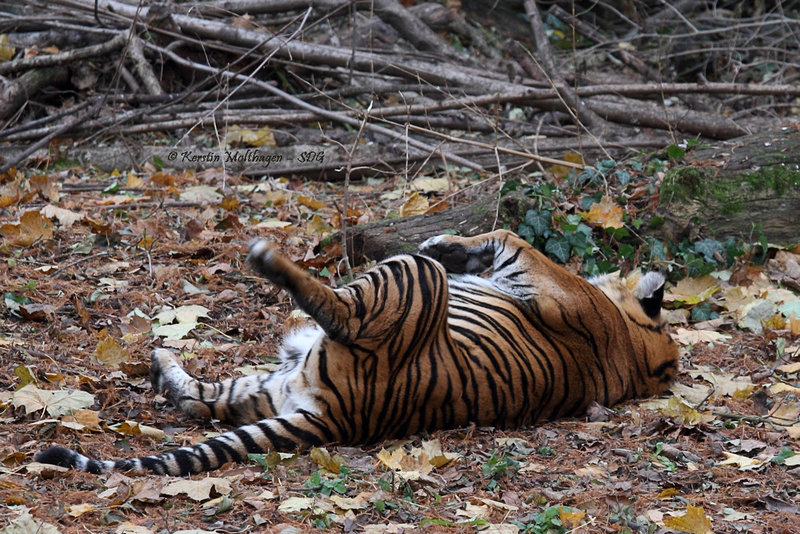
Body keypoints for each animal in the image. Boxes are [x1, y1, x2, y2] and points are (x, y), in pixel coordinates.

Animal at [36, 230, 676, 478]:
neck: (635, 350)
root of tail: (342, 416)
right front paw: (454, 245)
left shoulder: (550, 277)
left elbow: (512, 237)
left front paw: (448, 244)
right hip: (270, 386)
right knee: (203, 401)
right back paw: (164, 364)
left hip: (408, 282)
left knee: (338, 307)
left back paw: (268, 260)